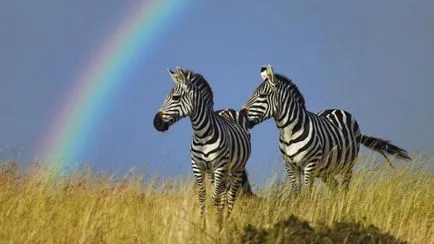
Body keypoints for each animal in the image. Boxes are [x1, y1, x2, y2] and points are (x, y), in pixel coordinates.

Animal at [154, 66, 253, 216]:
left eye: (176, 97)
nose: (156, 123)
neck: (202, 135)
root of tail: (228, 109)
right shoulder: (198, 167)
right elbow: (202, 196)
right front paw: (203, 220)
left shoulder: (219, 166)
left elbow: (215, 198)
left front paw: (213, 221)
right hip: (216, 172)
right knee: (224, 194)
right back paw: (221, 218)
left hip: (237, 167)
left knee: (230, 196)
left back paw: (227, 219)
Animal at [239, 64, 412, 193]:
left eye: (262, 96)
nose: (241, 114)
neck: (288, 132)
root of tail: (337, 109)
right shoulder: (290, 166)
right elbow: (296, 194)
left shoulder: (309, 165)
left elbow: (306, 194)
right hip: (325, 171)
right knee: (335, 189)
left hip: (347, 166)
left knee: (344, 189)